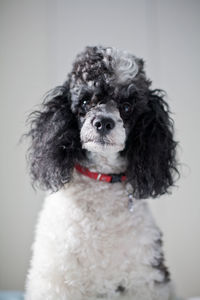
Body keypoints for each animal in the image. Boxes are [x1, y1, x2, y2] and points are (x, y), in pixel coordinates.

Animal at [24, 45, 179, 298]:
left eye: (126, 107)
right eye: (86, 101)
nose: (103, 123)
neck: (101, 180)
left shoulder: (145, 278)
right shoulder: (55, 280)